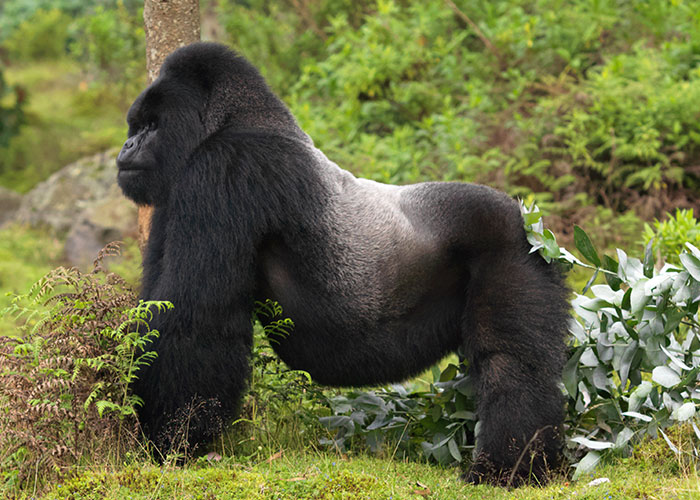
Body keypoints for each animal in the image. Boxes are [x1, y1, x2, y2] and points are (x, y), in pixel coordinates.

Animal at [117, 42, 572, 484]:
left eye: (151, 126)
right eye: (134, 126)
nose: (126, 148)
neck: (230, 120)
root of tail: (526, 217)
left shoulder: (224, 168)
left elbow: (195, 320)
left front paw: (171, 437)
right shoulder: (175, 193)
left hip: (511, 247)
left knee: (511, 365)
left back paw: (509, 466)